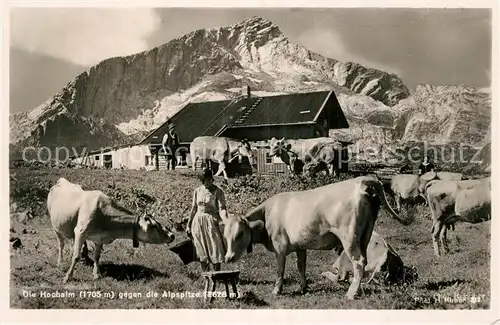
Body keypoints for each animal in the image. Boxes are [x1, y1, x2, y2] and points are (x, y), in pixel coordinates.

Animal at [47, 178, 176, 282]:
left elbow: (97, 256)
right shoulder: (80, 231)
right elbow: (76, 256)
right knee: (61, 244)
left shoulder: (99, 238)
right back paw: (60, 263)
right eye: (154, 225)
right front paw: (67, 277)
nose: (172, 235)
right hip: (55, 226)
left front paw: (96, 274)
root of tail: (61, 181)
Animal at [223, 175, 406, 298]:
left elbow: (280, 269)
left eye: (240, 233)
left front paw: (277, 290)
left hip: (349, 236)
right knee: (363, 261)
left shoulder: (279, 246)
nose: (228, 258)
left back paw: (351, 293)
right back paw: (358, 290)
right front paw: (303, 287)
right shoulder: (300, 245)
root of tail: (360, 181)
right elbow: (301, 266)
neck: (269, 213)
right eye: (225, 235)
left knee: (359, 262)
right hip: (366, 234)